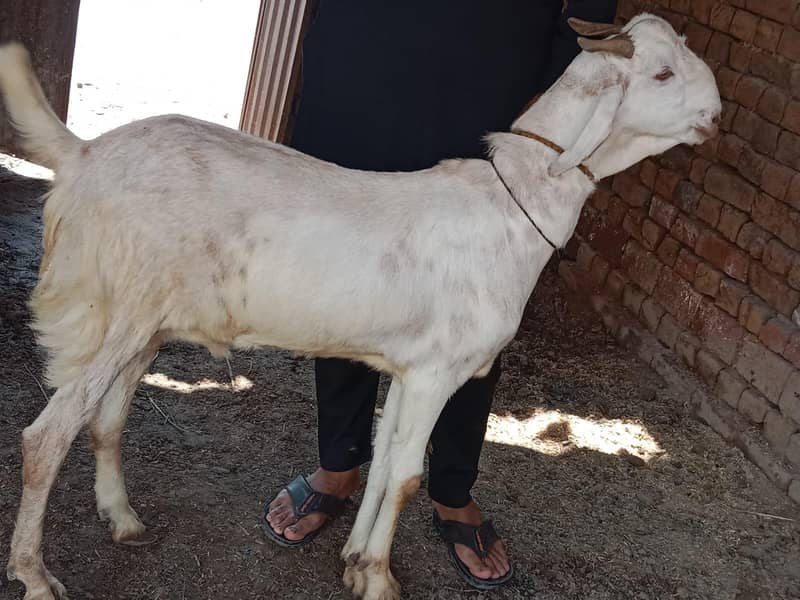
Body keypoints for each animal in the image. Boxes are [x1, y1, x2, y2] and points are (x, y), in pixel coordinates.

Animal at [1, 14, 720, 600]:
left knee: (106, 420)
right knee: (47, 435)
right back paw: (35, 574)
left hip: (141, 320)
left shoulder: (412, 366)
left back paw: (123, 519)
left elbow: (382, 462)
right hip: (114, 309)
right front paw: (378, 578)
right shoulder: (439, 372)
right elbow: (405, 475)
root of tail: (84, 154)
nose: (716, 113)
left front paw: (353, 558)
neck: (511, 206)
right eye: (660, 73)